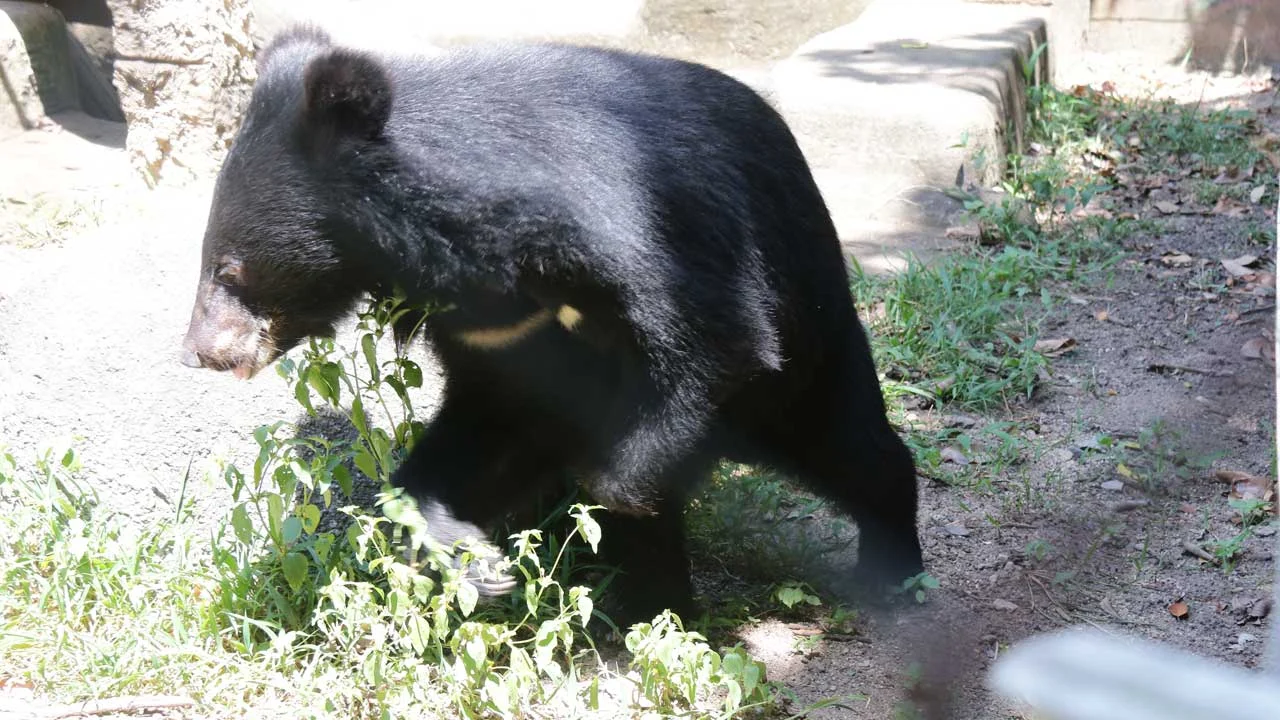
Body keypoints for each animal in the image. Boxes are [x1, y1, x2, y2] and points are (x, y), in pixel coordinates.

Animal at [179, 25, 924, 627]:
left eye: (230, 268)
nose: (197, 353)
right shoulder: (499, 339)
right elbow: (487, 430)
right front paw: (474, 560)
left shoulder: (663, 235)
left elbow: (714, 346)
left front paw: (611, 502)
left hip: (806, 326)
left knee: (847, 444)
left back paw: (884, 572)